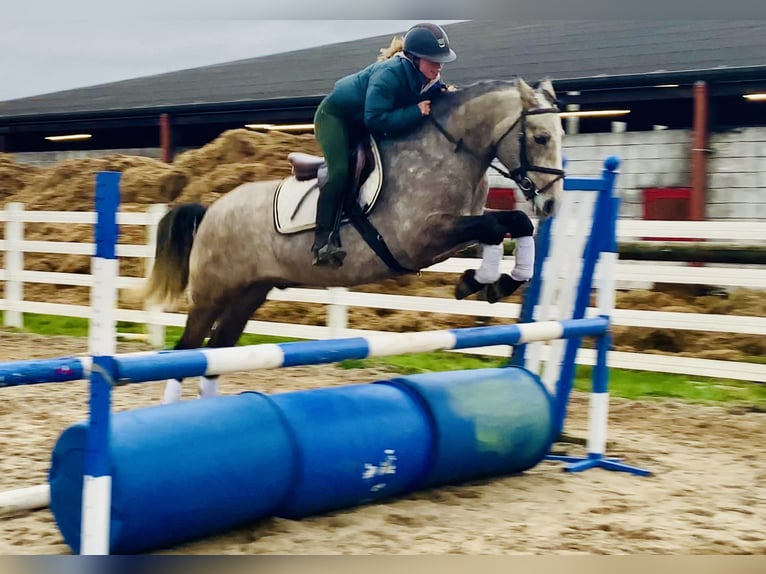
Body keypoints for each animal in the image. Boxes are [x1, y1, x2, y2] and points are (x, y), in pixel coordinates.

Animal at [141, 77, 565, 403]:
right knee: (187, 352)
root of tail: (210, 211)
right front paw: (480, 282)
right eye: (541, 137)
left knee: (217, 353)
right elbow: (495, 227)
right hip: (212, 294)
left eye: (562, 134)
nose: (551, 204)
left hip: (249, 293)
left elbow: (511, 224)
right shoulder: (422, 237)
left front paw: (494, 282)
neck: (446, 152)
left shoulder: (454, 235)